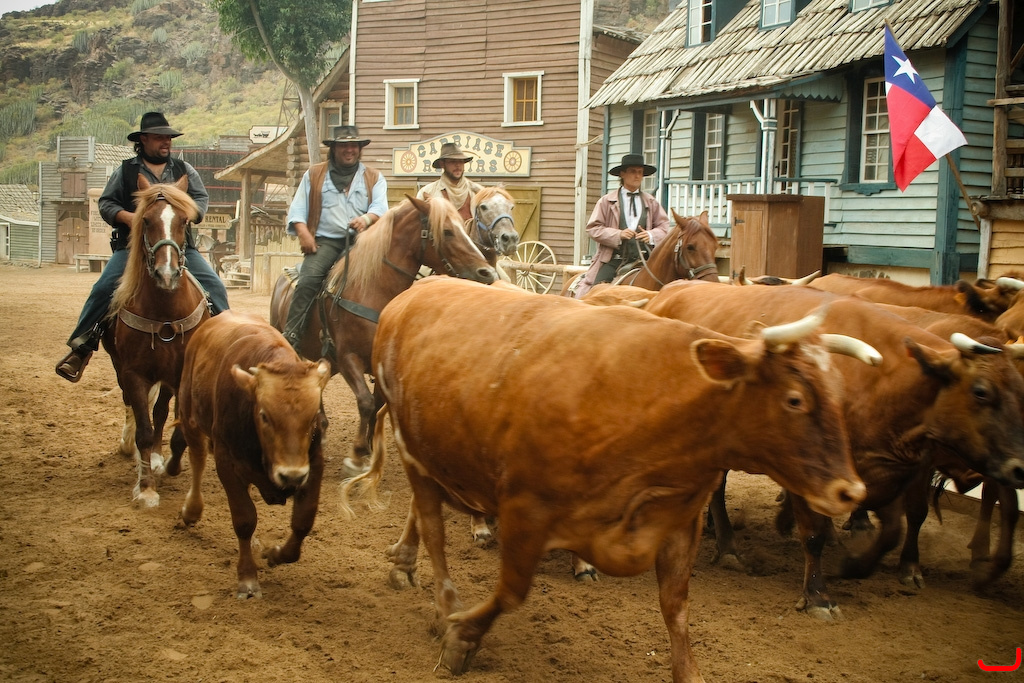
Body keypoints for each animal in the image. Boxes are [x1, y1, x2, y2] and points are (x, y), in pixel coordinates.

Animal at [104, 175, 210, 507]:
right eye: (147, 220)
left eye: (184, 220)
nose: (167, 274)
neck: (164, 312)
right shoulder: (134, 373)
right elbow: (144, 430)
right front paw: (146, 487)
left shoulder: (181, 374)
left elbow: (173, 423)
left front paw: (169, 465)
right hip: (120, 366)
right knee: (133, 407)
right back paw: (133, 449)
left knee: (161, 412)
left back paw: (159, 459)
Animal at [167, 311, 331, 599]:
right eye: (264, 415)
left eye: (313, 418)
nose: (290, 475)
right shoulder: (227, 463)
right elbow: (244, 519)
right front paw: (247, 578)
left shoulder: (313, 465)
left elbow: (303, 521)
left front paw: (276, 554)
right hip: (189, 415)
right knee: (197, 459)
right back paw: (191, 510)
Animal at [270, 195, 498, 472]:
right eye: (446, 231)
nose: (487, 273)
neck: (370, 290)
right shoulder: (348, 358)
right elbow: (366, 402)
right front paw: (357, 455)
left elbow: (378, 403)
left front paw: (368, 450)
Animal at [347, 276, 866, 682]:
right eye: (795, 399)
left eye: (839, 390)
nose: (851, 491)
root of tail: (411, 294)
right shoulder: (526, 509)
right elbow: (511, 592)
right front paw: (461, 638)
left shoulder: (680, 522)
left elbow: (677, 608)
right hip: (412, 450)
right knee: (434, 530)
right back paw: (442, 606)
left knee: (422, 516)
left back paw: (405, 562)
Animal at [643, 281, 1024, 618]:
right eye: (981, 391)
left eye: (1020, 388)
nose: (1020, 467)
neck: (880, 383)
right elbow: (813, 534)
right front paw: (818, 595)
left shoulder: (894, 470)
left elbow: (897, 528)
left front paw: (857, 565)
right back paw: (726, 547)